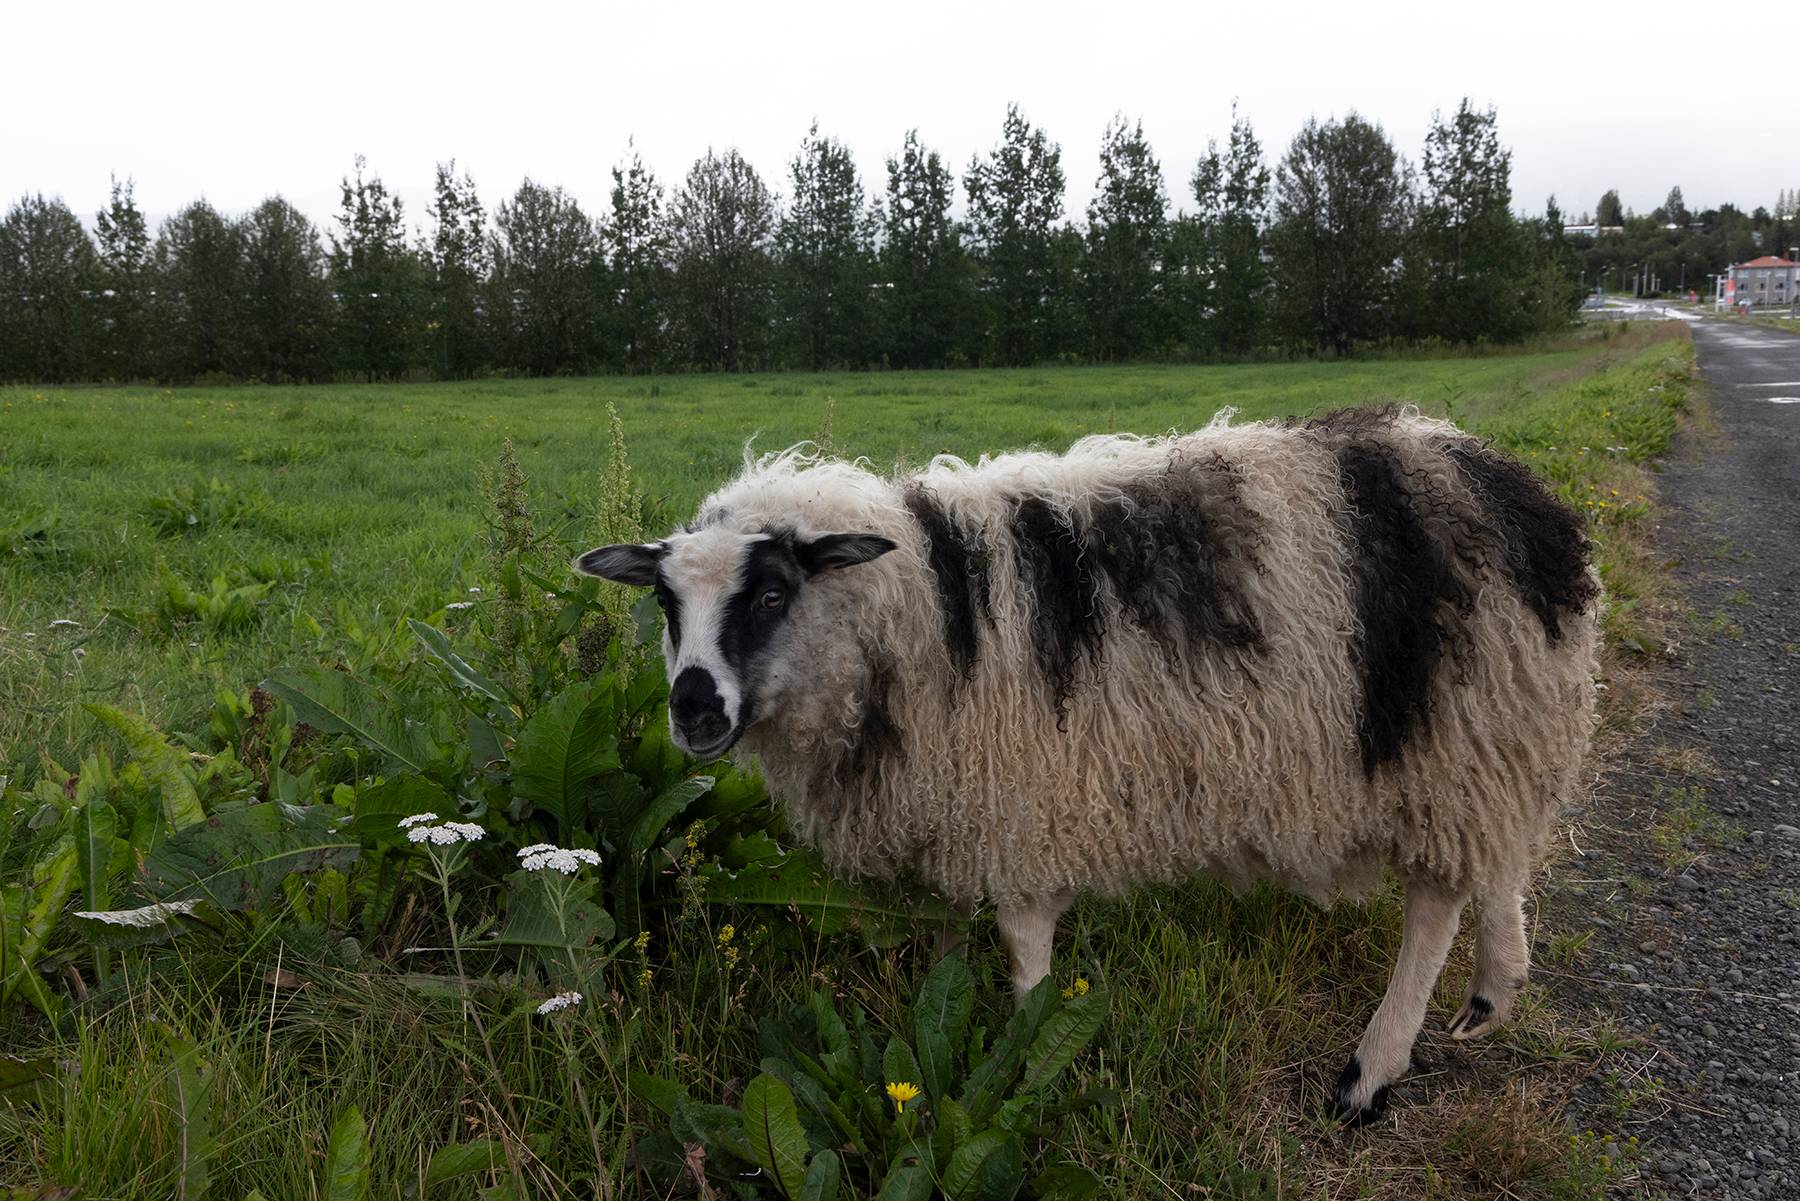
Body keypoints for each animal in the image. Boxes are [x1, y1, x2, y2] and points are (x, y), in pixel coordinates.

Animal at [576, 405, 1600, 1123]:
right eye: (664, 601)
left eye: (772, 593)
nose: (692, 708)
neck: (919, 606)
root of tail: (1514, 490)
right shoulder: (955, 801)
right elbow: (947, 935)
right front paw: (942, 1006)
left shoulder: (1024, 796)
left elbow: (1024, 937)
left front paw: (1031, 1054)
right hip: (1495, 737)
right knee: (1498, 860)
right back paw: (1493, 994)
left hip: (1453, 737)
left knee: (1436, 901)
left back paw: (1371, 1071)